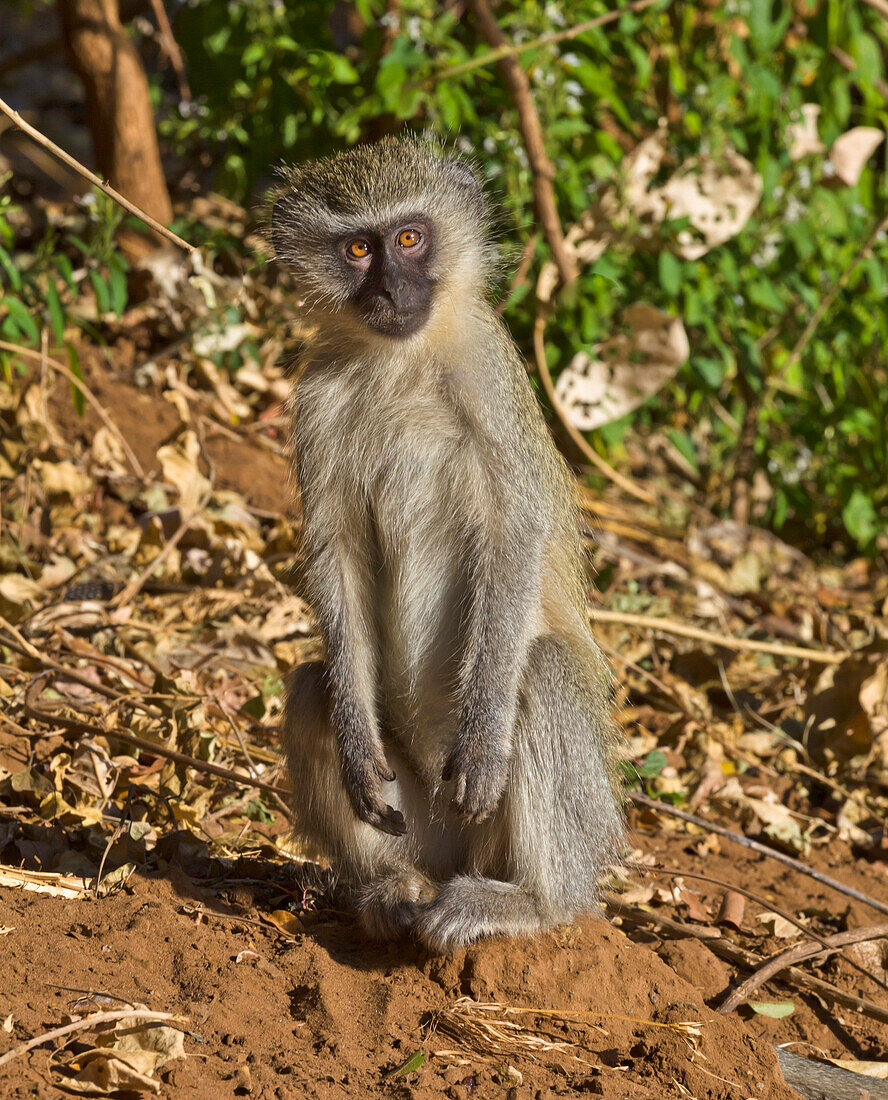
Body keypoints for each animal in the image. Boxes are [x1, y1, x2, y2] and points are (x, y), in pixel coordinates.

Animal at [270, 133, 625, 950]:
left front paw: (487, 739)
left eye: (410, 238)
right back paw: (387, 890)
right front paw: (357, 753)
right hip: (424, 826)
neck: (404, 357)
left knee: (545, 671)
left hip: (511, 826)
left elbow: (516, 534)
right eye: (359, 247)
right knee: (310, 689)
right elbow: (338, 552)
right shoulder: (315, 400)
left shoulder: (490, 375)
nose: (393, 291)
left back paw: (534, 905)